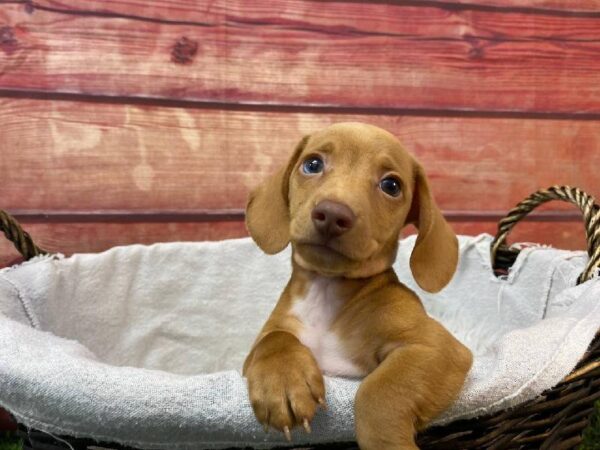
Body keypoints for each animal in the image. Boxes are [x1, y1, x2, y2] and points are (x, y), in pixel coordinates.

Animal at [241, 123, 472, 450]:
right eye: (312, 164)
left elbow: (377, 392)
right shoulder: (258, 349)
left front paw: (387, 442)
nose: (332, 214)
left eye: (391, 185)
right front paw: (283, 381)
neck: (326, 292)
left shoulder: (439, 348)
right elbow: (274, 340)